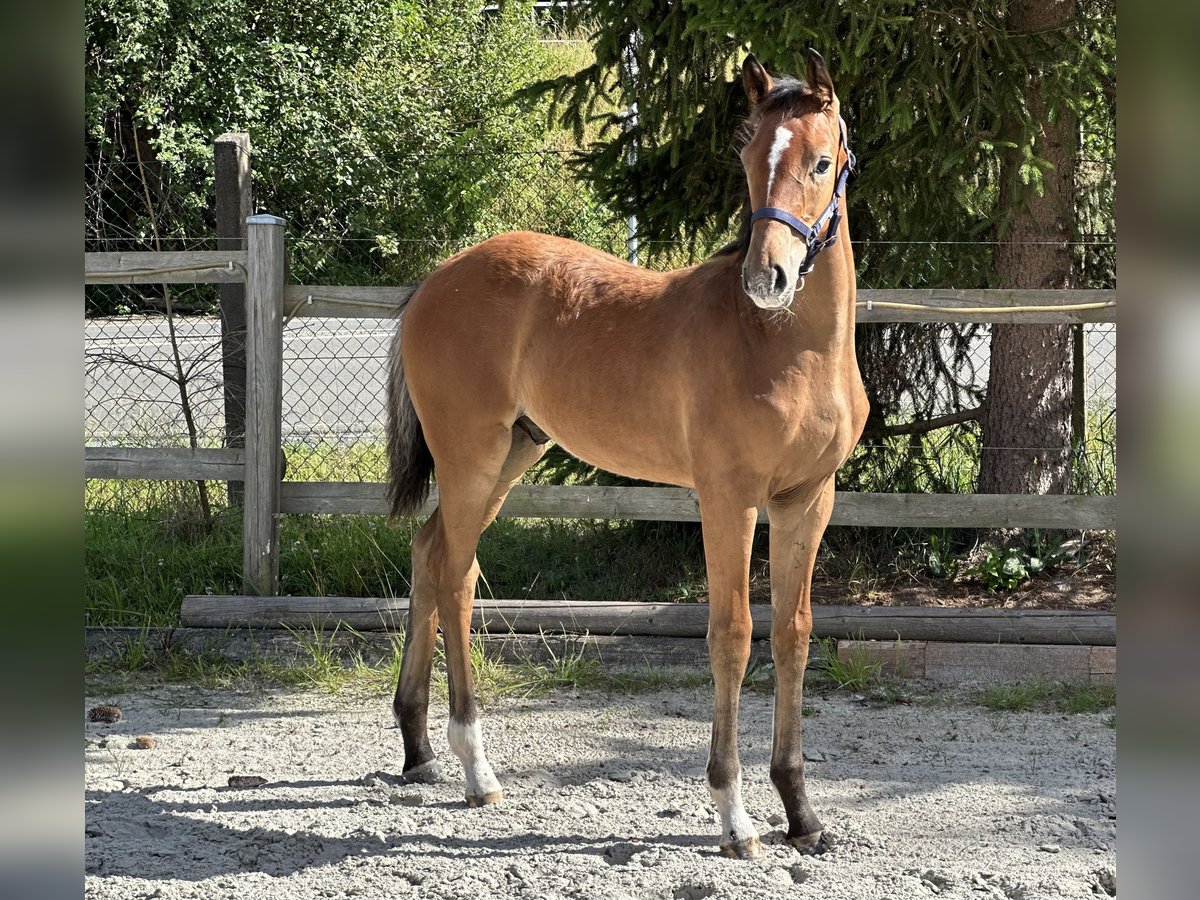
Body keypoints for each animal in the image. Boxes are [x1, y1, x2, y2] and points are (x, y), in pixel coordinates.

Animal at [388, 51, 868, 859]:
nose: (764, 278)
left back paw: (419, 750)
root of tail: (435, 279)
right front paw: (735, 818)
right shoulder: (728, 498)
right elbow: (732, 635)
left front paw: (803, 814)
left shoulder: (807, 499)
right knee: (456, 576)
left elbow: (794, 636)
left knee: (429, 553)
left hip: (513, 454)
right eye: (747, 158)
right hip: (471, 456)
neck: (788, 349)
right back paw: (476, 768)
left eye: (821, 162)